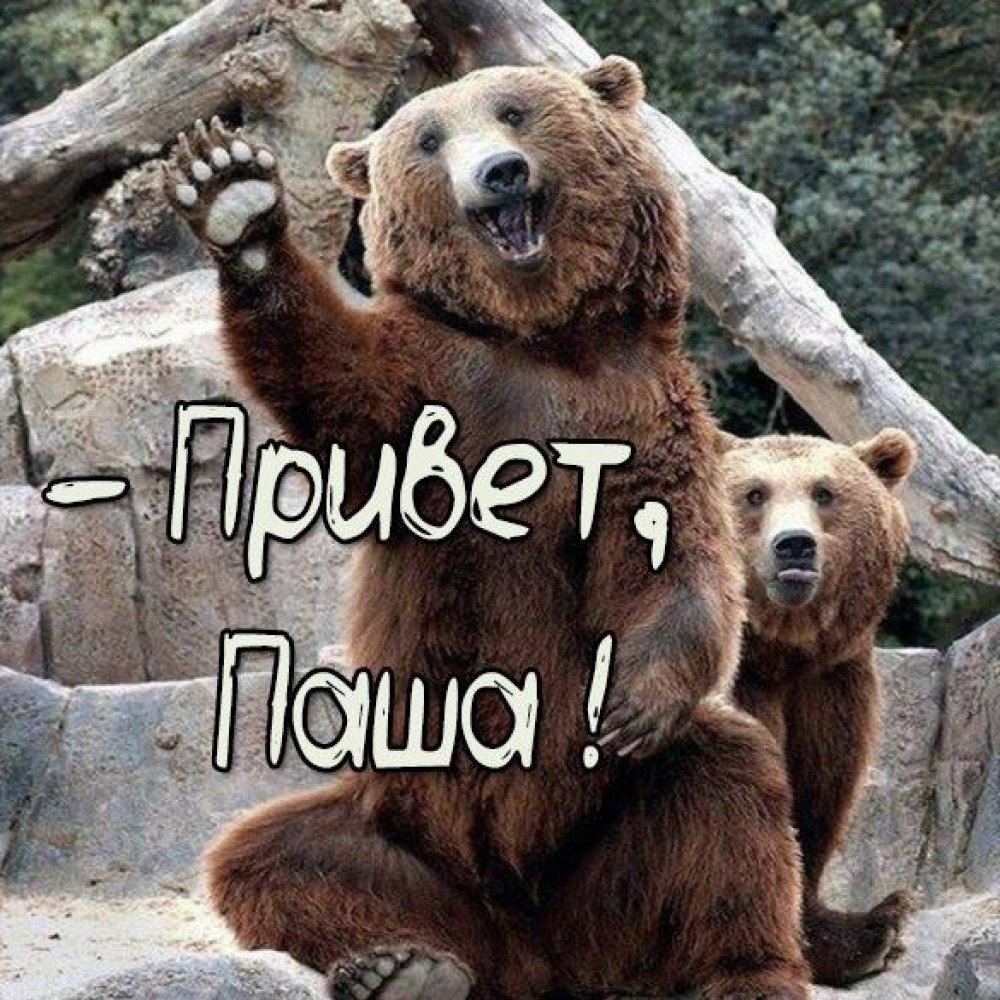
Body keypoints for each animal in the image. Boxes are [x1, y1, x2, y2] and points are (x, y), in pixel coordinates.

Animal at [163, 58, 811, 999]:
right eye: (430, 139)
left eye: (514, 111)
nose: (499, 173)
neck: (539, 339)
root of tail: (534, 953)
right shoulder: (435, 386)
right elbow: (330, 372)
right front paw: (232, 196)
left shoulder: (643, 410)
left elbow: (672, 557)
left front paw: (630, 703)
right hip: (410, 833)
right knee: (273, 855)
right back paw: (402, 968)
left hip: (609, 862)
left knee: (731, 789)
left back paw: (746, 971)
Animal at [719, 428, 918, 987]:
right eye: (755, 493)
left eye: (824, 492)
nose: (794, 545)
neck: (783, 648)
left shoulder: (830, 684)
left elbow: (820, 789)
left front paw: (871, 931)